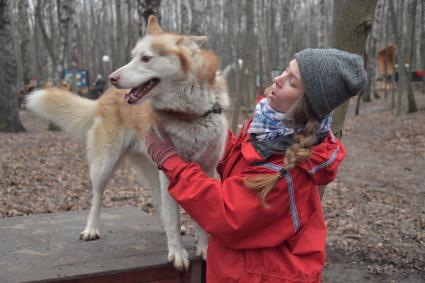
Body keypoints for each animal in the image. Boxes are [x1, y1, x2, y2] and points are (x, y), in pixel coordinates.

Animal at [26, 16, 229, 272]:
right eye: (133, 56)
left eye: (146, 58)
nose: (112, 77)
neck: (190, 114)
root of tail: (102, 98)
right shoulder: (172, 171)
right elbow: (174, 216)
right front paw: (177, 253)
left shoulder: (207, 169)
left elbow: (199, 215)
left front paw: (204, 248)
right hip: (105, 167)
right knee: (97, 197)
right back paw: (91, 229)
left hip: (153, 168)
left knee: (158, 202)